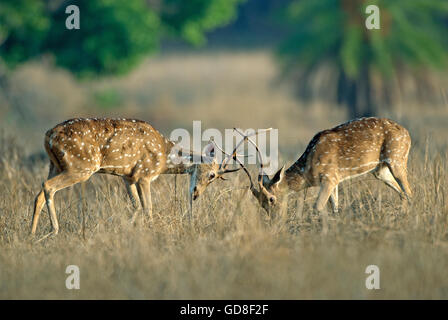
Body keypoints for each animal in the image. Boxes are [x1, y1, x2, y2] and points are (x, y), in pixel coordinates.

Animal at [30, 117, 242, 235]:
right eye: (212, 174)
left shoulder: (128, 177)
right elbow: (148, 208)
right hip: (80, 166)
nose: (196, 193)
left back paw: (31, 234)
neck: (164, 157)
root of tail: (48, 136)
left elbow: (137, 207)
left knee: (39, 192)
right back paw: (54, 230)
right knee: (48, 186)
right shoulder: (145, 174)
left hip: (56, 165)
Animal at [195, 119, 410, 216]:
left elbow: (317, 206)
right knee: (402, 192)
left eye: (271, 198)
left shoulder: (329, 177)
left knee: (409, 191)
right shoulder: (335, 181)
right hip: (380, 170)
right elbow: (335, 207)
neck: (309, 172)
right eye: (259, 202)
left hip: (397, 159)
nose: (274, 219)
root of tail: (407, 134)